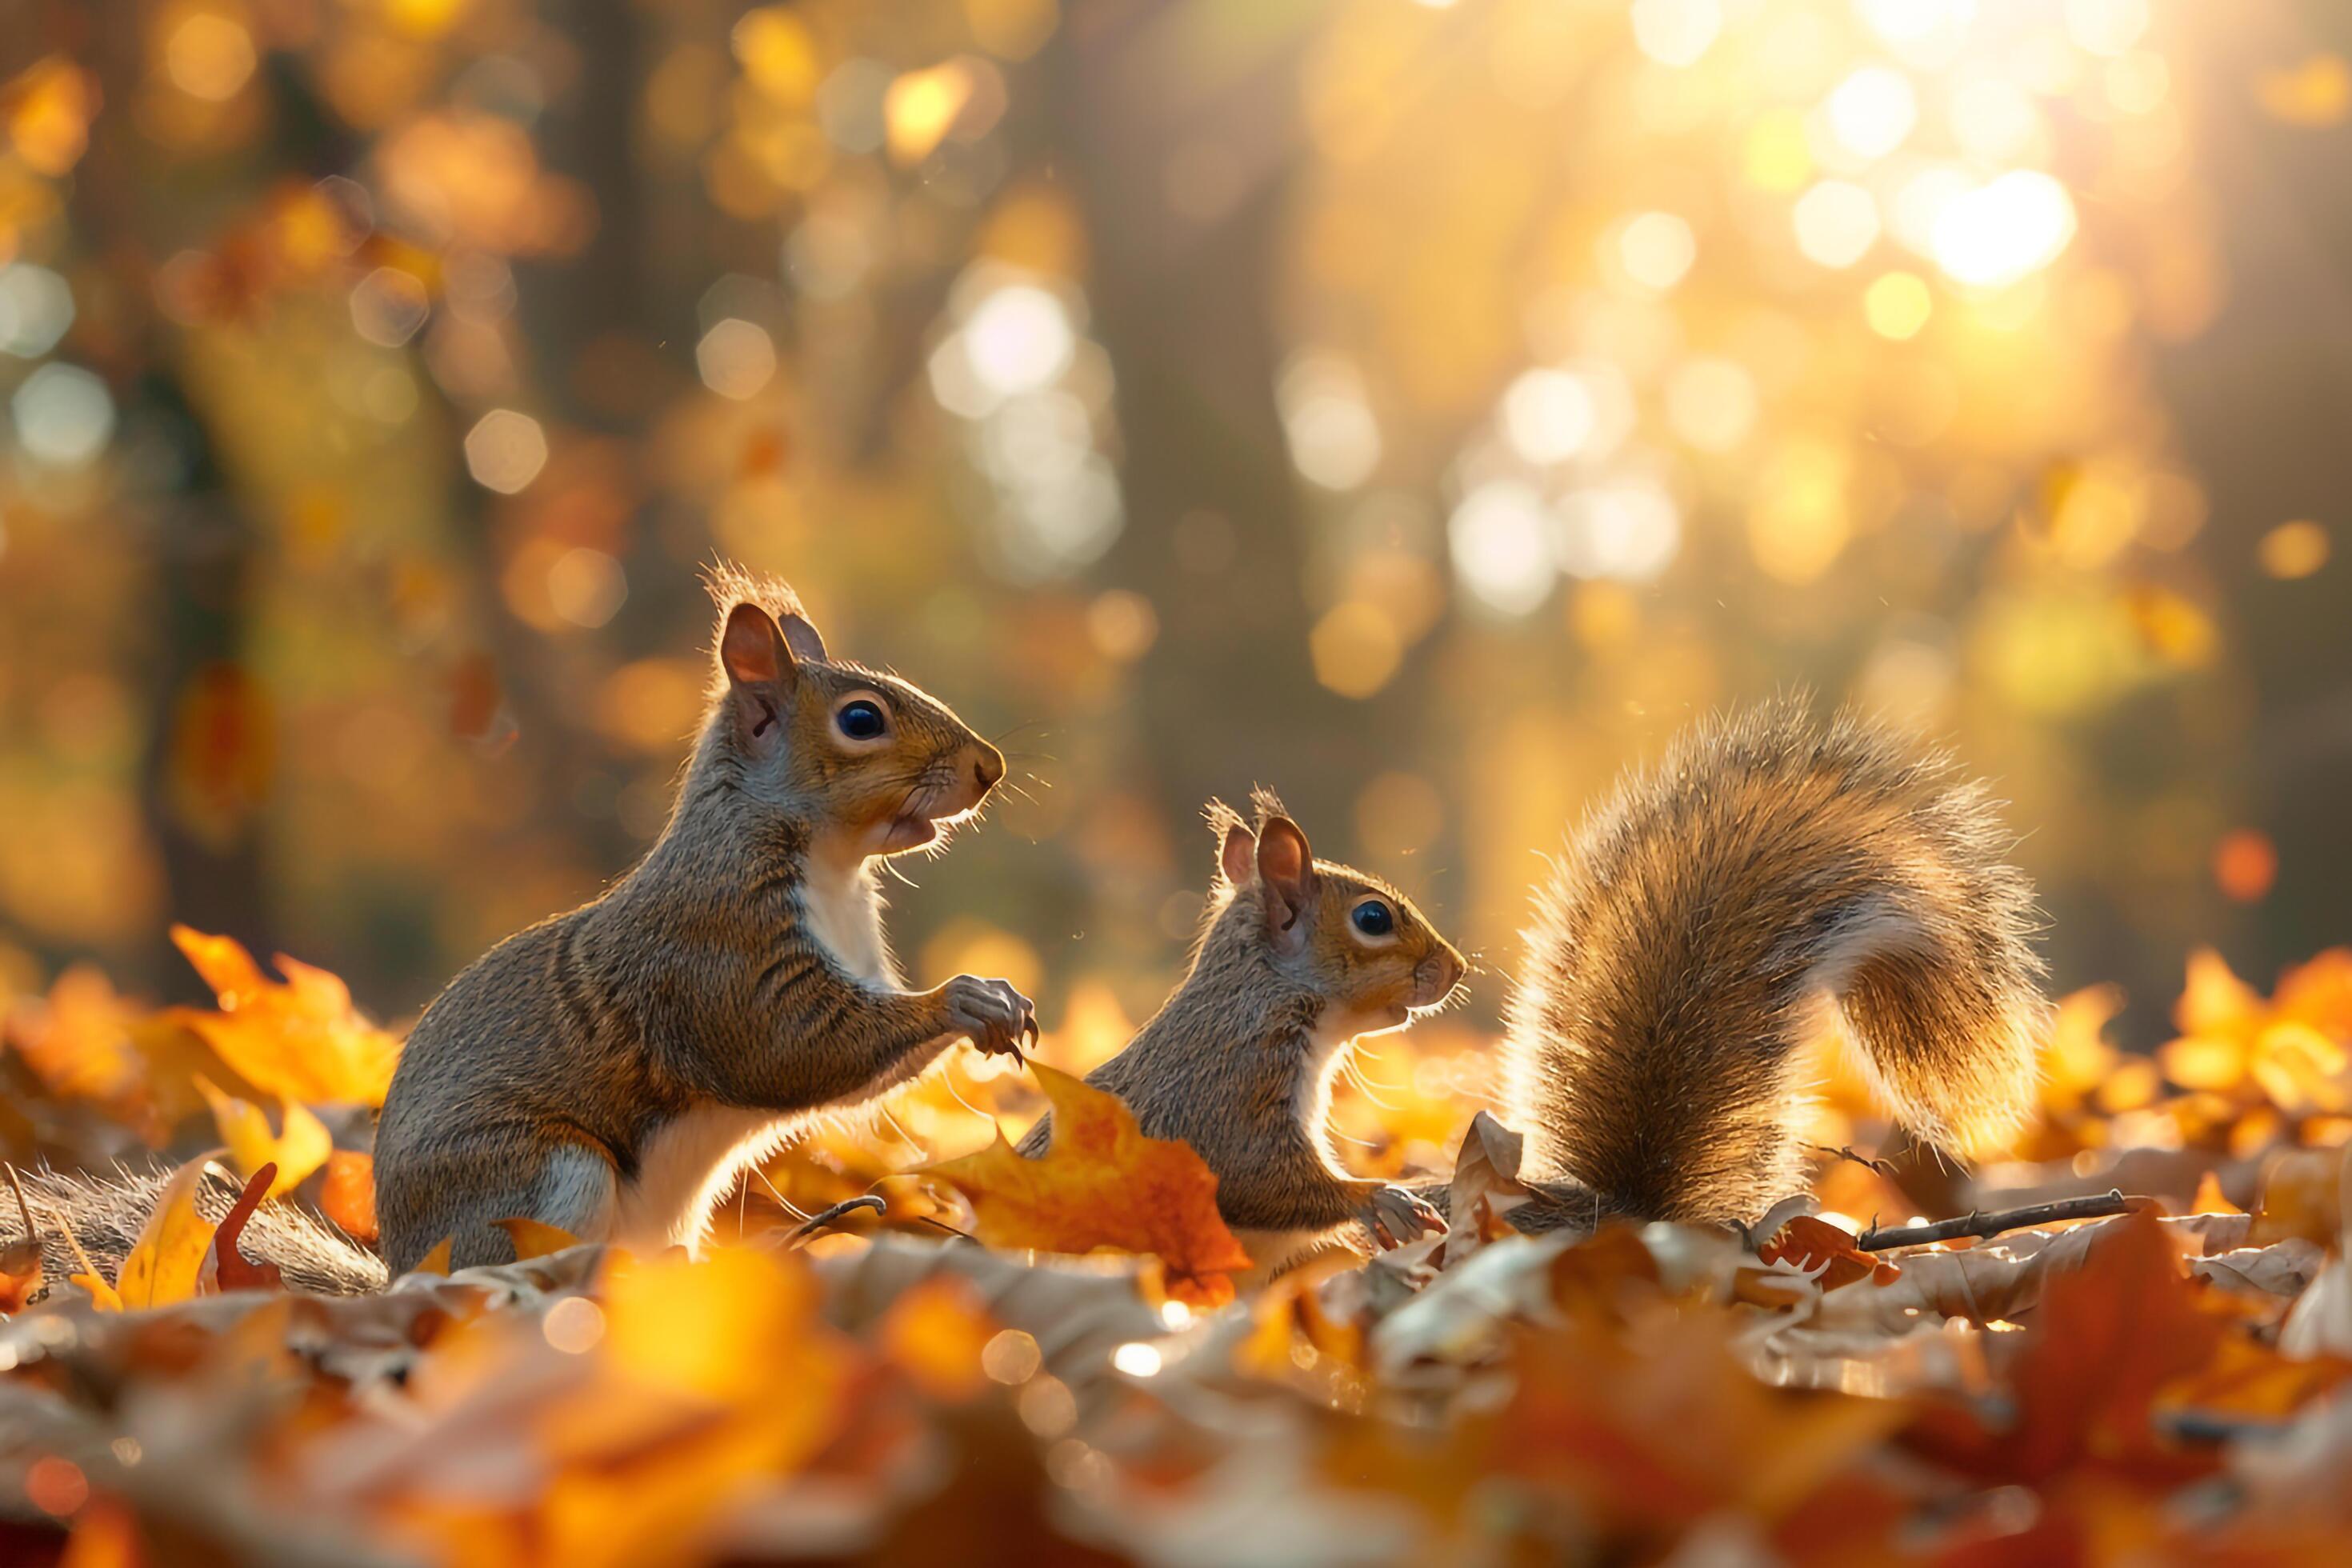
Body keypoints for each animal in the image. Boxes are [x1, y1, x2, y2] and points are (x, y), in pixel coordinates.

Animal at [4, 571, 1030, 1298]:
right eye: (861, 719)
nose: (990, 766)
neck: (830, 866)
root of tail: (403, 1271)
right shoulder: (716, 949)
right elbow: (791, 1049)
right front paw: (961, 1000)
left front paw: (995, 999)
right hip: (539, 1171)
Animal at [1039, 705, 2050, 1269]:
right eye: (1372, 918)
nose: (1453, 969)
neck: (1270, 1005)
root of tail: (1632, 1220)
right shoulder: (1227, 1090)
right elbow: (1251, 1179)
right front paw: (1382, 1198)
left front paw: (1399, 1197)